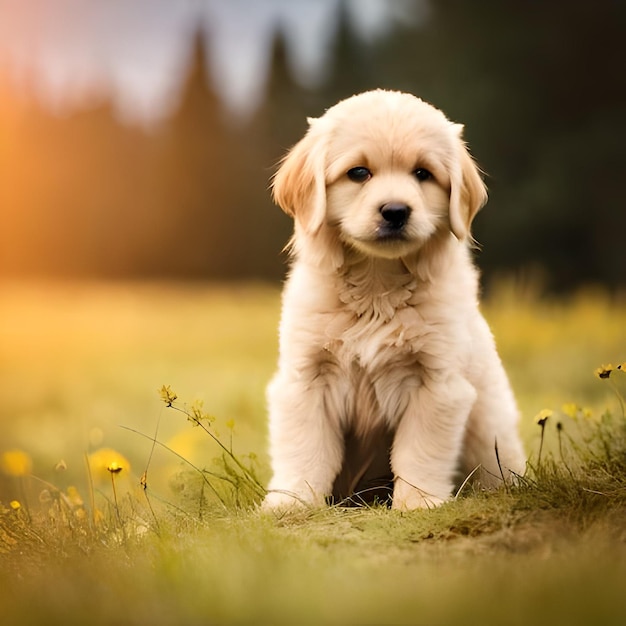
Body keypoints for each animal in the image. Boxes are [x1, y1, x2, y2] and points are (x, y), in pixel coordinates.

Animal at [260, 88, 524, 510]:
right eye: (358, 173)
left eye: (422, 174)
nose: (396, 211)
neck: (376, 285)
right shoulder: (306, 379)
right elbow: (305, 450)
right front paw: (292, 502)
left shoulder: (437, 384)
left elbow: (418, 452)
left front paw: (417, 503)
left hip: (491, 431)